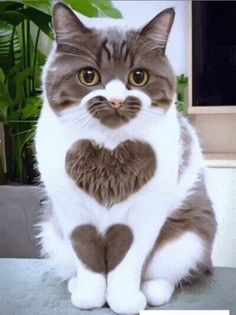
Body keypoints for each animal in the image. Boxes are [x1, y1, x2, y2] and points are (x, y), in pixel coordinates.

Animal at [34, 3, 217, 315]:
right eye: (88, 76)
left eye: (138, 77)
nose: (116, 100)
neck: (108, 150)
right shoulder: (72, 211)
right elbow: (87, 257)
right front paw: (90, 296)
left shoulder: (144, 215)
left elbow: (127, 261)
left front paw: (124, 300)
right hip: (52, 232)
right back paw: (75, 284)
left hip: (188, 238)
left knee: (169, 273)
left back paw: (152, 292)